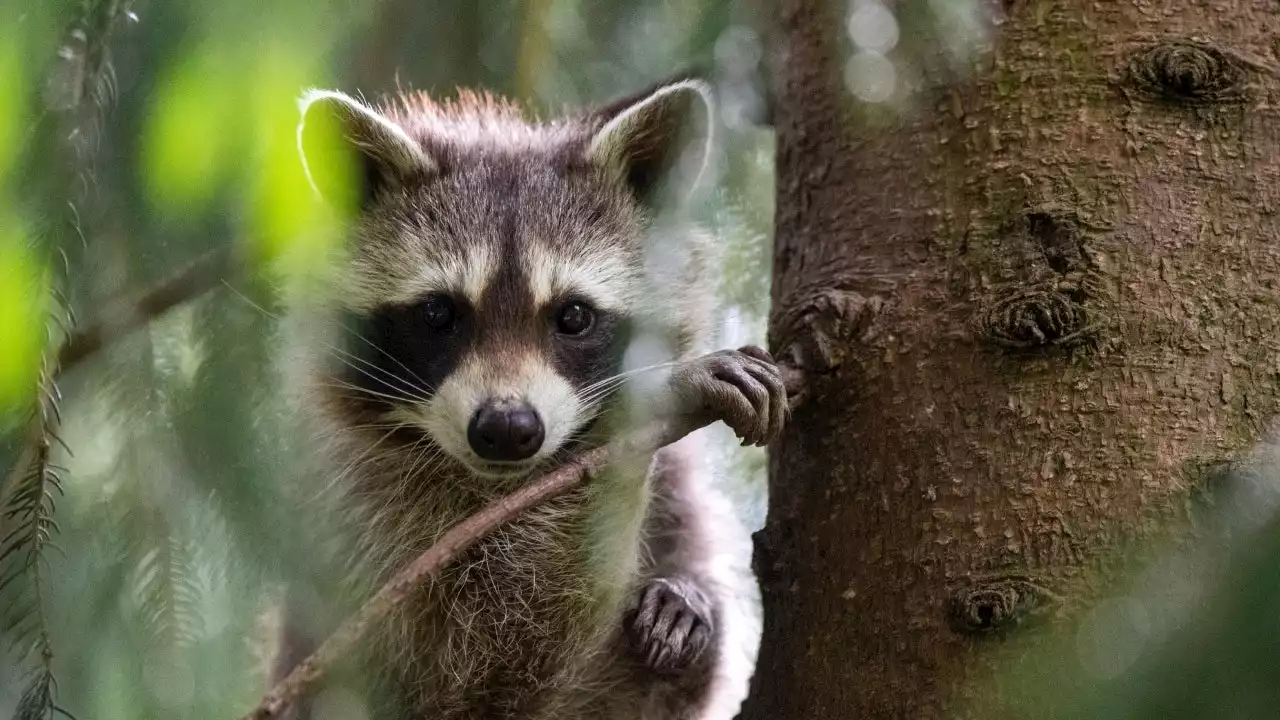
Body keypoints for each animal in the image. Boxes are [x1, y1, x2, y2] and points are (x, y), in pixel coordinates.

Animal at [275, 75, 783, 712]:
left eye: (574, 317)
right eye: (438, 314)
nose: (507, 430)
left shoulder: (679, 491)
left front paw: (684, 606)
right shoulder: (374, 513)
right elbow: (491, 647)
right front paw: (651, 404)